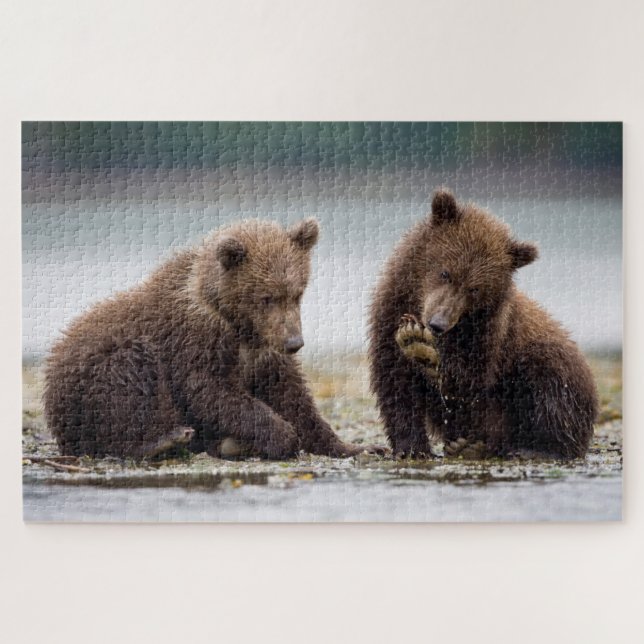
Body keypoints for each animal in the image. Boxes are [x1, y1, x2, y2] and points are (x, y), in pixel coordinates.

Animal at [44, 218, 377, 460]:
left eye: (297, 293)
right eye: (266, 297)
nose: (294, 343)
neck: (240, 326)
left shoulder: (264, 351)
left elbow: (292, 395)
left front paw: (356, 446)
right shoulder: (196, 338)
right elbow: (210, 389)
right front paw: (283, 435)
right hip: (92, 374)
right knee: (130, 375)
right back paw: (164, 440)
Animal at [368, 188, 598, 460]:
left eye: (475, 289)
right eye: (445, 272)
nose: (438, 323)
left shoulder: (490, 333)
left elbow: (469, 385)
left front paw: (422, 349)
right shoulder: (389, 312)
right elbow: (396, 384)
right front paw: (411, 448)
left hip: (552, 364)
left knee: (551, 390)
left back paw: (532, 448)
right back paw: (468, 446)